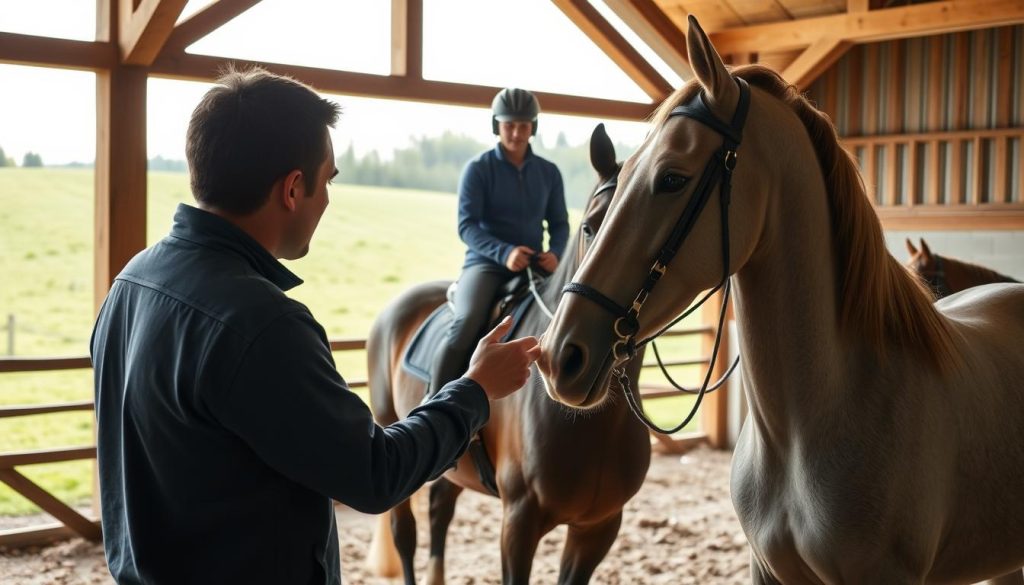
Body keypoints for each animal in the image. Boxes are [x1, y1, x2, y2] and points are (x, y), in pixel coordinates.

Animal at [364, 124, 647, 585]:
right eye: (590, 227)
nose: (573, 361)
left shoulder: (598, 527)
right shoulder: (519, 523)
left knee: (440, 510)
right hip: (390, 428)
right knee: (404, 533)